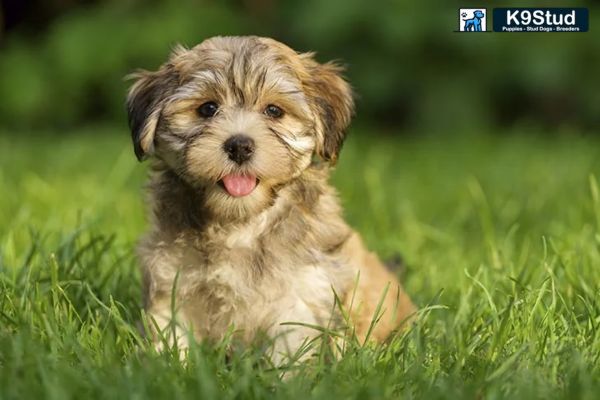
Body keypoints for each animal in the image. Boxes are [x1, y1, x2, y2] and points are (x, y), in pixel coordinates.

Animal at [126, 36, 414, 362]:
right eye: (208, 108)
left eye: (274, 111)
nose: (239, 145)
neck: (240, 222)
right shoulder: (172, 280)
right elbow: (172, 335)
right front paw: (167, 365)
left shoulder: (299, 293)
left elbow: (290, 346)